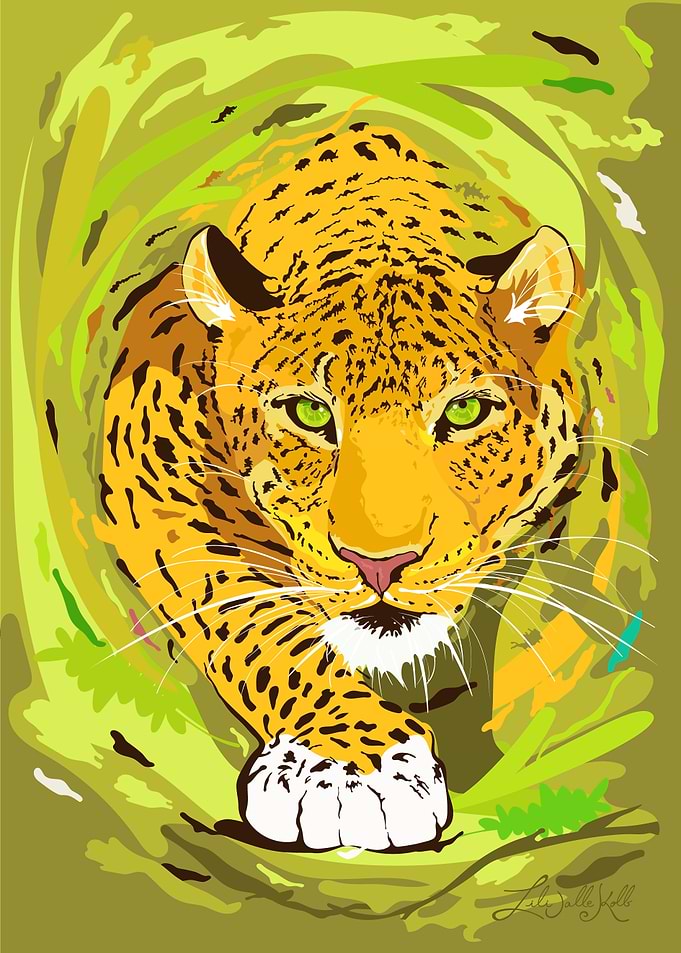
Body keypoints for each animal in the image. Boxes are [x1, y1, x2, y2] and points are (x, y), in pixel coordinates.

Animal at [101, 120, 585, 851]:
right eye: (307, 413)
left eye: (465, 412)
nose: (379, 565)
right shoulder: (150, 466)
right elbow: (253, 621)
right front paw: (356, 765)